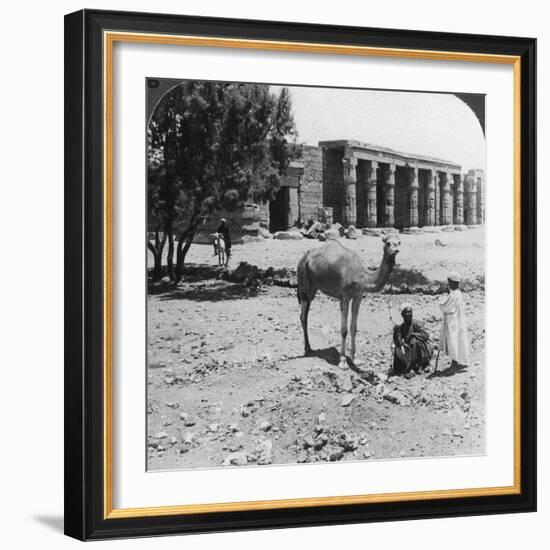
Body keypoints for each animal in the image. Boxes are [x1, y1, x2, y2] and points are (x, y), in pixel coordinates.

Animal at [298, 234, 402, 370]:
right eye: (388, 243)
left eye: (399, 242)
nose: (396, 250)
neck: (361, 276)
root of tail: (305, 257)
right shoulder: (345, 296)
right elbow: (344, 330)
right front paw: (342, 361)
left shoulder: (358, 296)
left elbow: (354, 328)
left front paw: (355, 358)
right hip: (303, 278)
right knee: (303, 316)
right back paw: (307, 349)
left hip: (313, 286)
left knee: (305, 313)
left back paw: (309, 348)